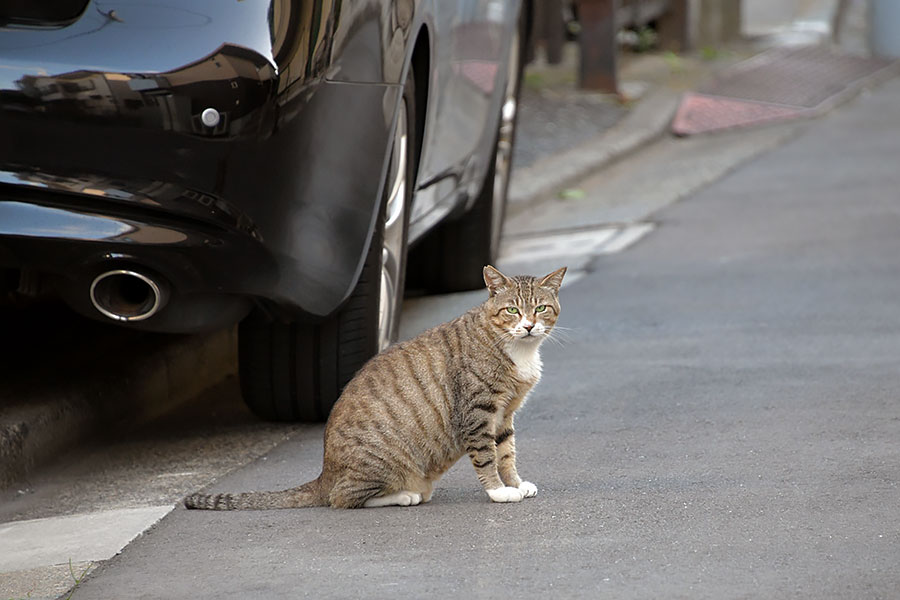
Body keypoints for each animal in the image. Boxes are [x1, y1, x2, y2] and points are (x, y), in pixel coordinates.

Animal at [182, 264, 564, 508]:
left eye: (541, 308)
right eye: (512, 311)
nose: (529, 326)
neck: (517, 349)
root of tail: (324, 475)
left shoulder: (504, 415)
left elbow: (506, 453)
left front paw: (515, 483)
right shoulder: (477, 413)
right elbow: (486, 458)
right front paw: (499, 492)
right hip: (380, 465)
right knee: (343, 499)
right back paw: (404, 495)